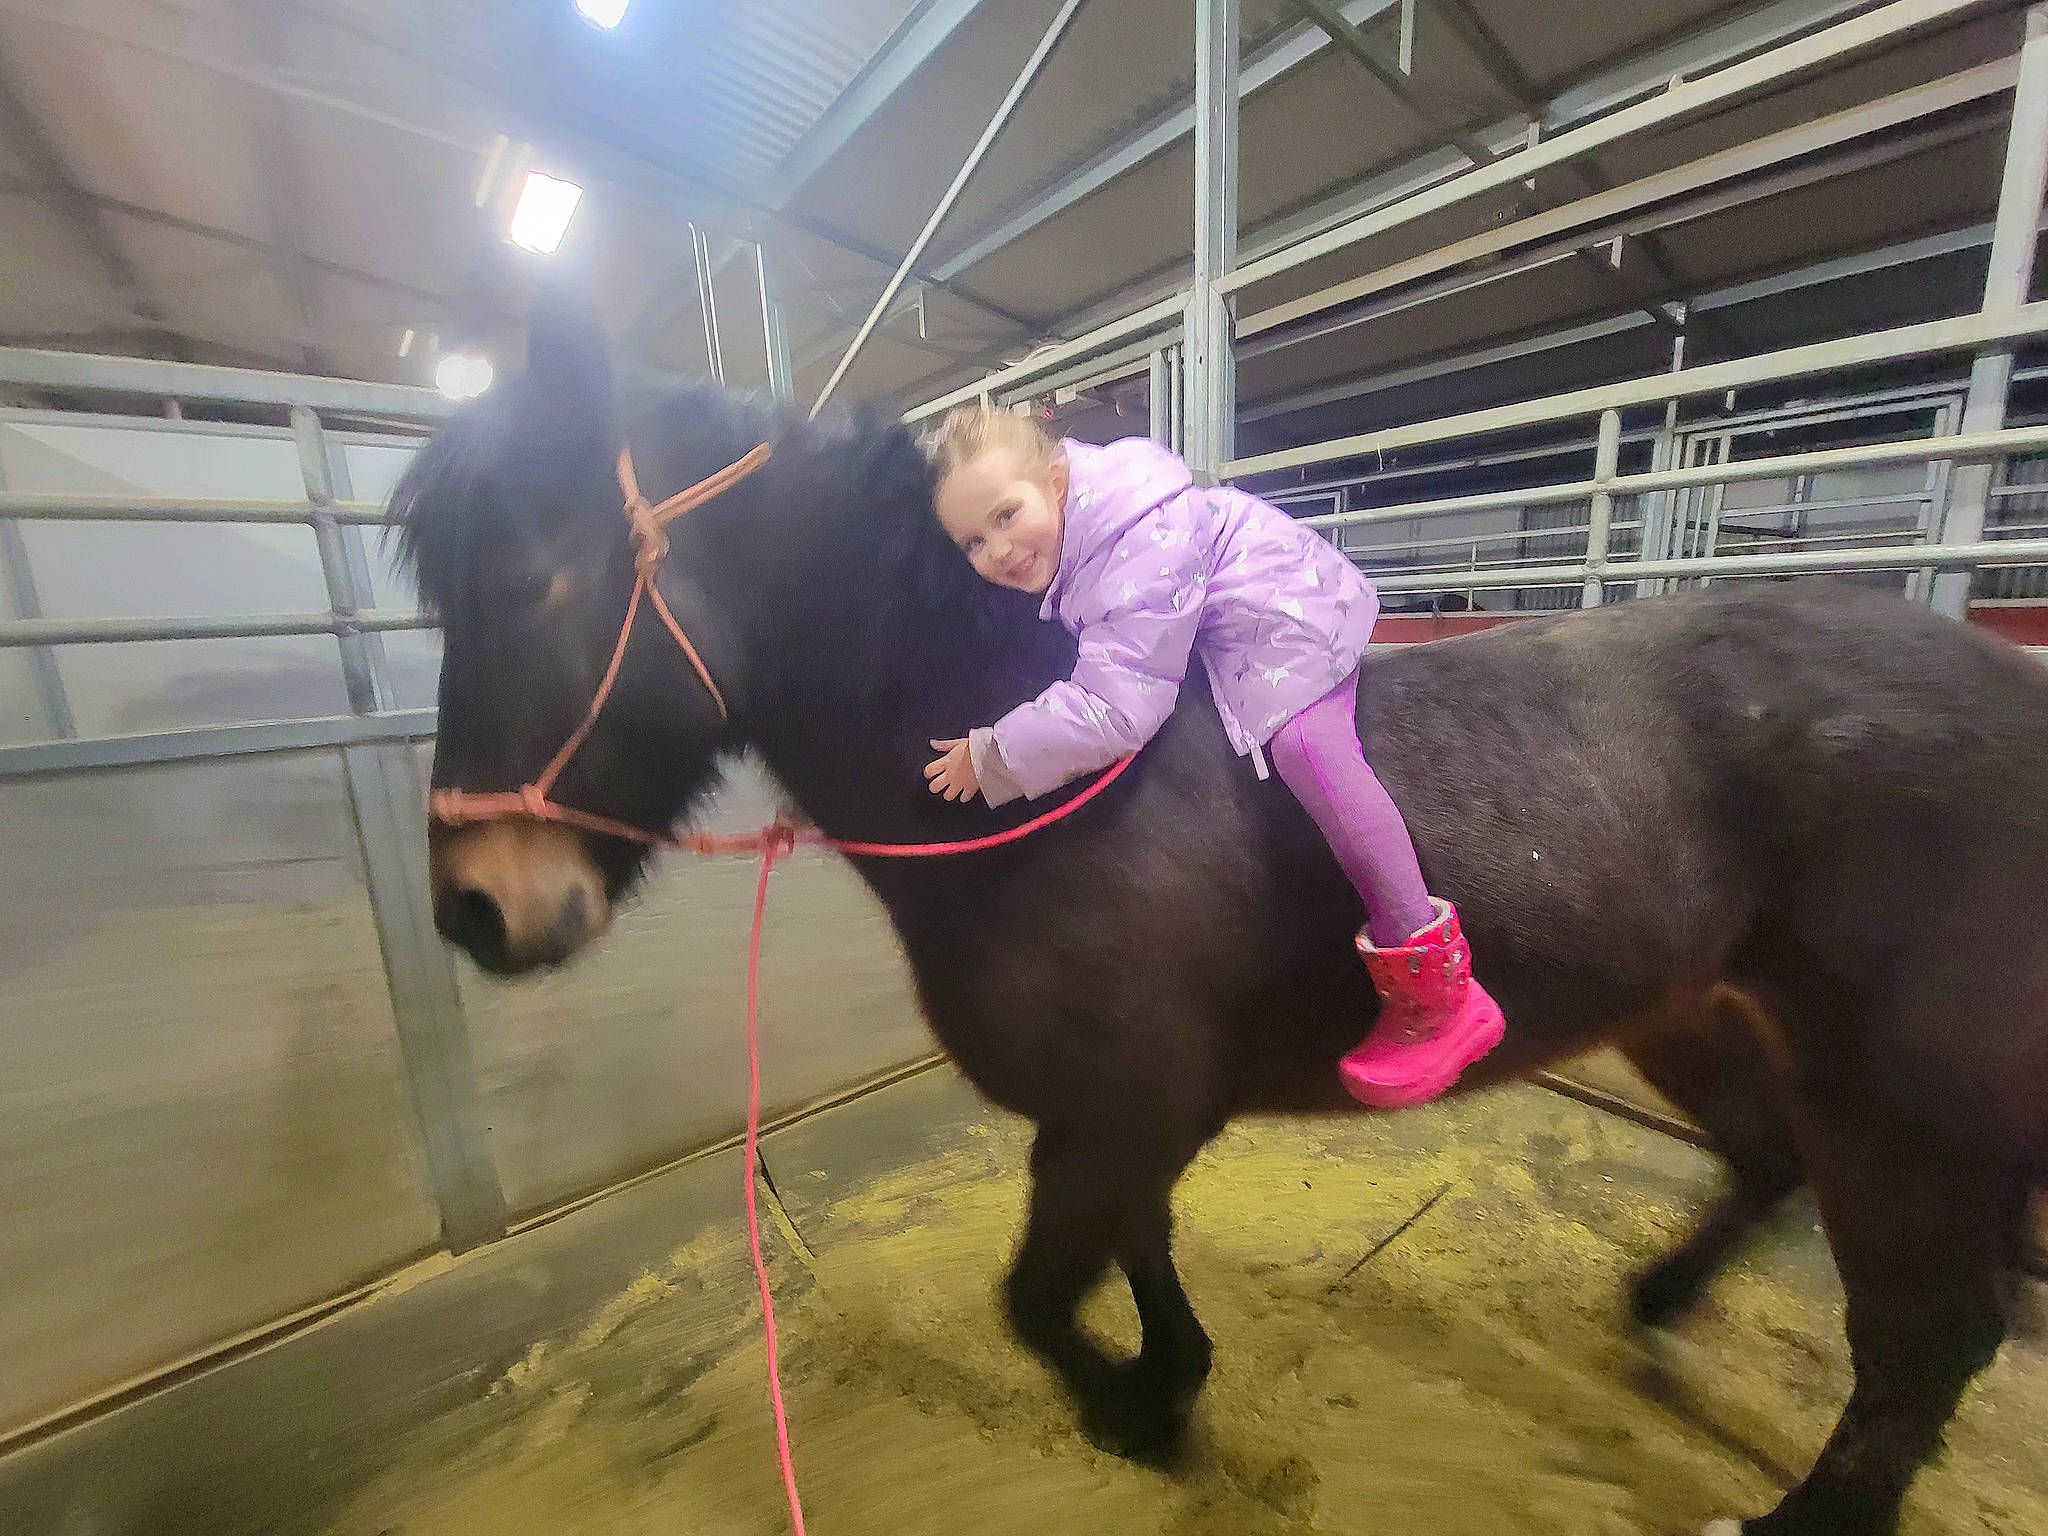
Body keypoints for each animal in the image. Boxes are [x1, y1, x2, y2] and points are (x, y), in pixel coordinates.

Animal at [399, 302, 2048, 1536]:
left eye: (532, 579)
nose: (475, 909)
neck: (1062, 790)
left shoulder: (1123, 1110)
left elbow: (1037, 1300)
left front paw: (1139, 1413)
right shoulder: (1115, 1118)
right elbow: (1132, 1260)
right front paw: (1167, 1388)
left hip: (1900, 1105)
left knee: (1922, 1343)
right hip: (1697, 1017)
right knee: (1769, 1173)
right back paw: (1657, 1302)